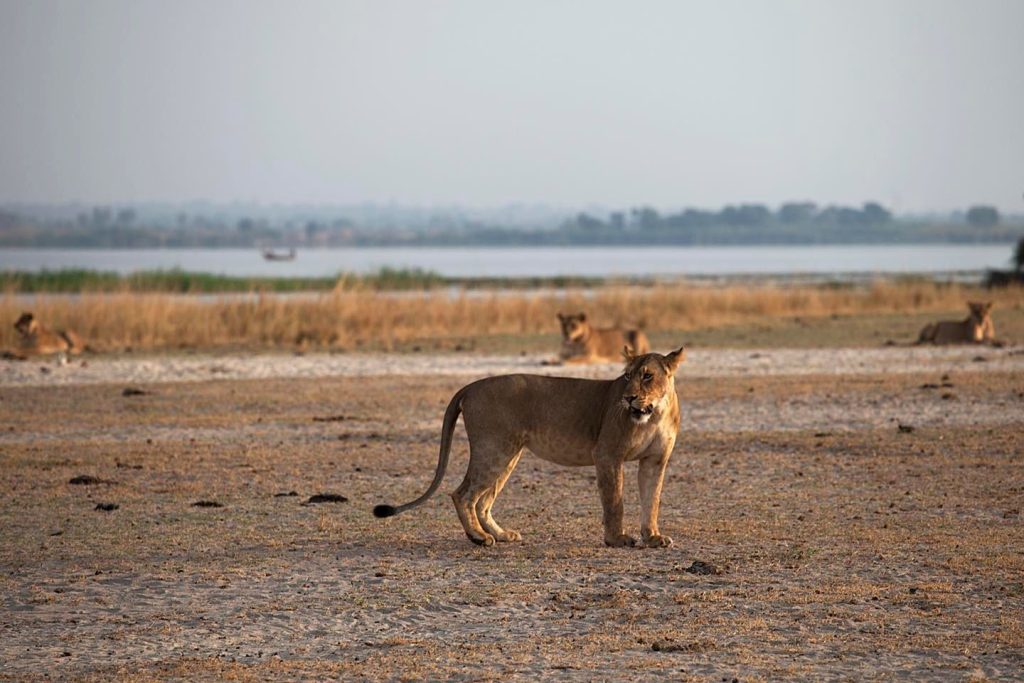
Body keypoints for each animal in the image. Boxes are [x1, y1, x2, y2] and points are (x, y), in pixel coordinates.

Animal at [374, 346, 685, 548]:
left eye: (647, 376)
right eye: (627, 376)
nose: (628, 397)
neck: (653, 414)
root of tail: (471, 385)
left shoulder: (655, 460)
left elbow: (652, 500)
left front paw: (653, 537)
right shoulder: (608, 455)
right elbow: (614, 501)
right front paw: (617, 539)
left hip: (508, 453)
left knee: (483, 501)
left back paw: (501, 535)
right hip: (495, 450)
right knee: (462, 494)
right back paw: (478, 538)